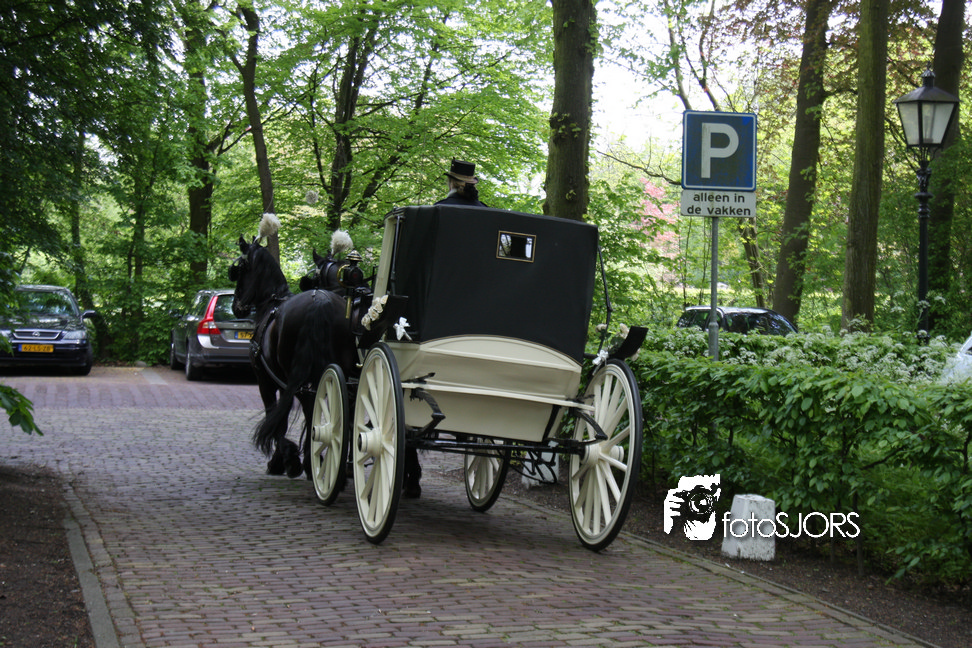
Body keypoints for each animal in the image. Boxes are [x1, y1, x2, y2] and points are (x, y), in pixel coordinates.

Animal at [229, 235, 355, 479]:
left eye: (238, 271)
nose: (236, 307)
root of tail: (319, 302)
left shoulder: (267, 381)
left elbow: (277, 416)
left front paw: (284, 460)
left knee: (307, 407)